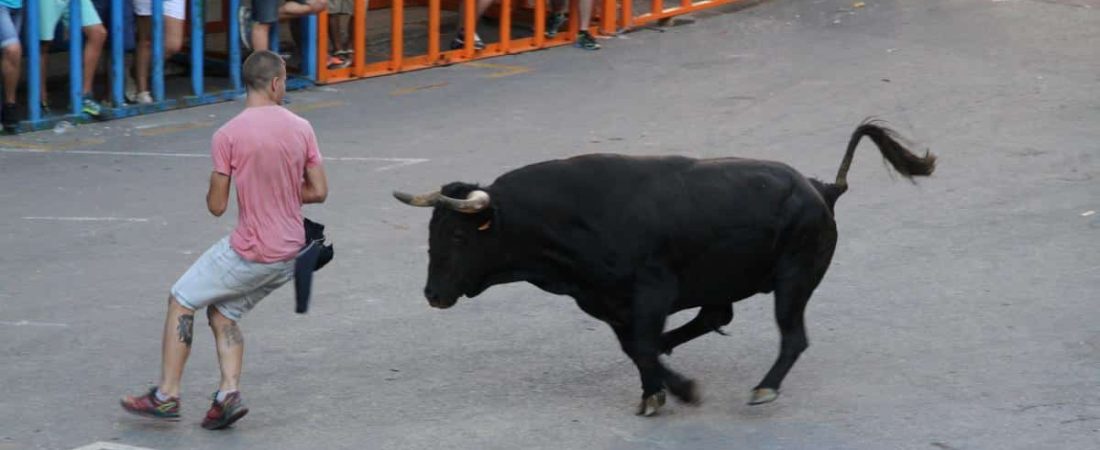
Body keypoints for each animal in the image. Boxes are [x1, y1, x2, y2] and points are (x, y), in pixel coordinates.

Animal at [391, 121, 932, 415]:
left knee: (792, 337)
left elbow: (644, 345)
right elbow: (637, 347)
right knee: (715, 317)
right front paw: (658, 391)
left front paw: (680, 389)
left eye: (458, 236)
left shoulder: (651, 292)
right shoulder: (608, 303)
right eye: (432, 233)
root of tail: (821, 188)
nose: (433, 294)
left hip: (793, 280)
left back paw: (764, 388)